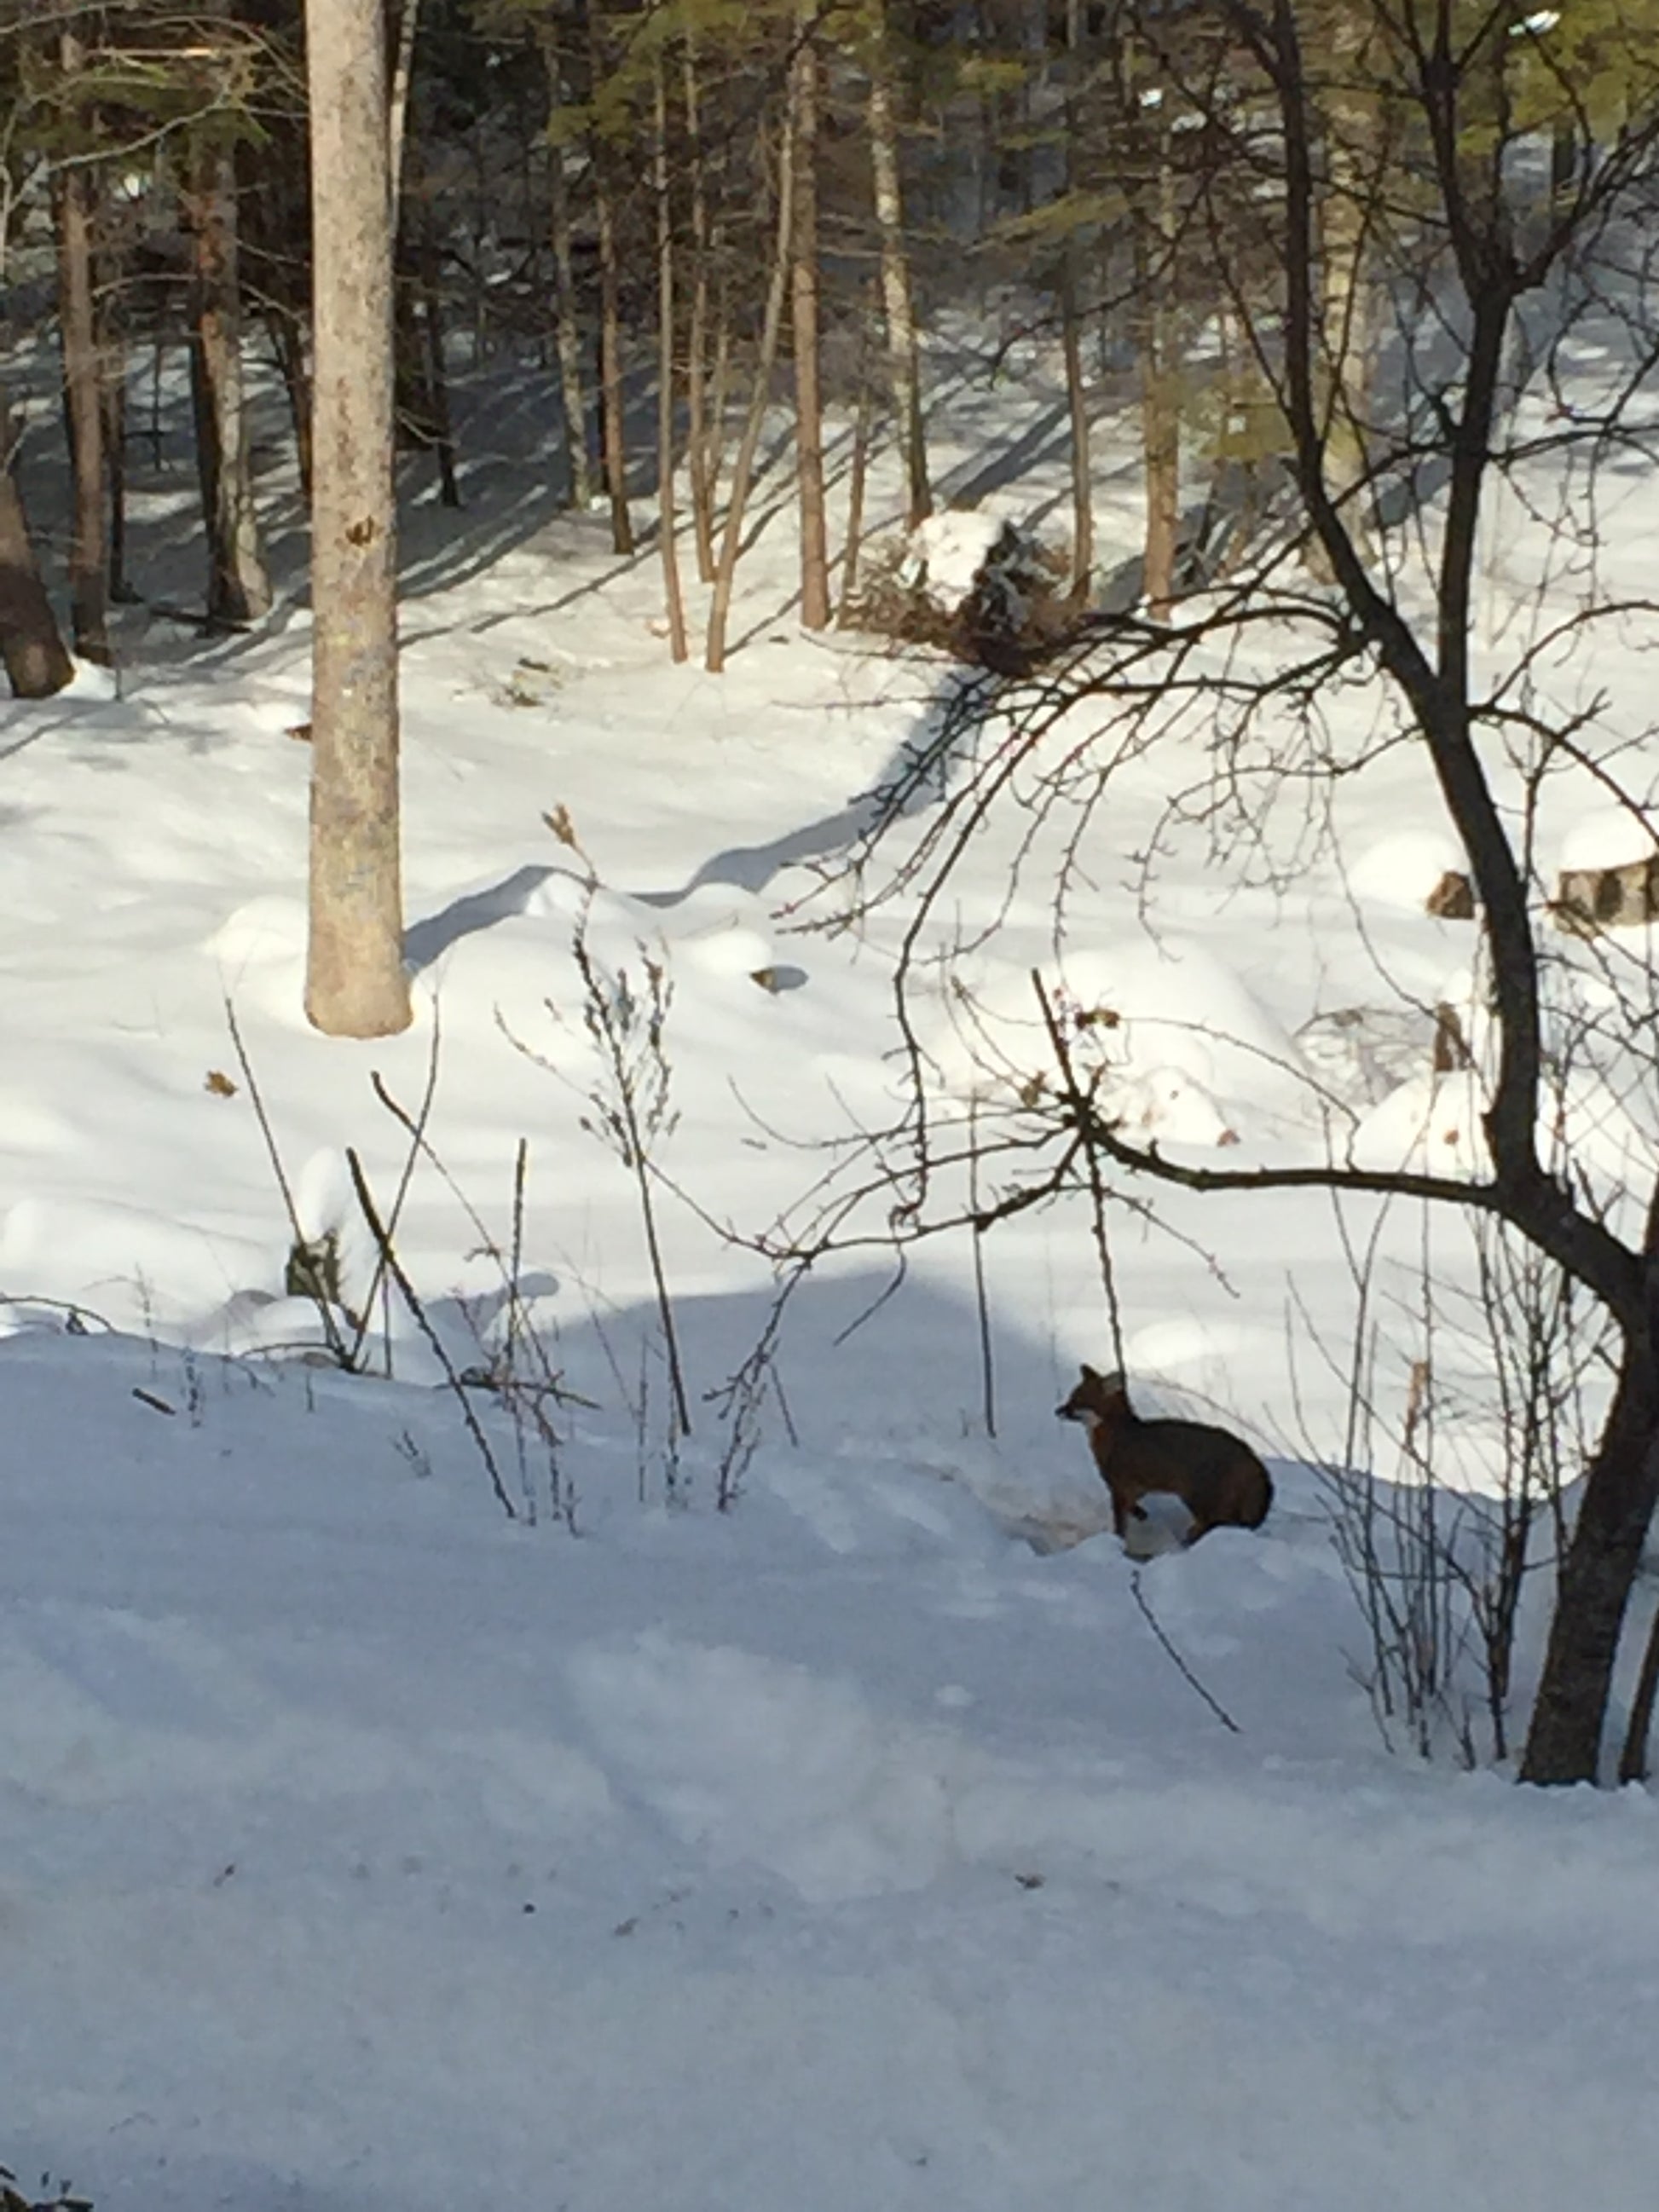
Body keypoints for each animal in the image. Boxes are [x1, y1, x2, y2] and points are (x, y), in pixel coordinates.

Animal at [1057, 1364, 1273, 1547]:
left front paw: (1118, 1544)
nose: (1057, 1411)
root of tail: (1251, 1456)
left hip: (1198, 1501)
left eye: (1078, 1400)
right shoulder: (1134, 1488)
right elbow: (1134, 1509)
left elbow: (1120, 1528)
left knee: (1212, 1525)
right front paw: (1142, 1515)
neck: (1119, 1434)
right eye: (1070, 1397)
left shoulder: (1119, 1488)